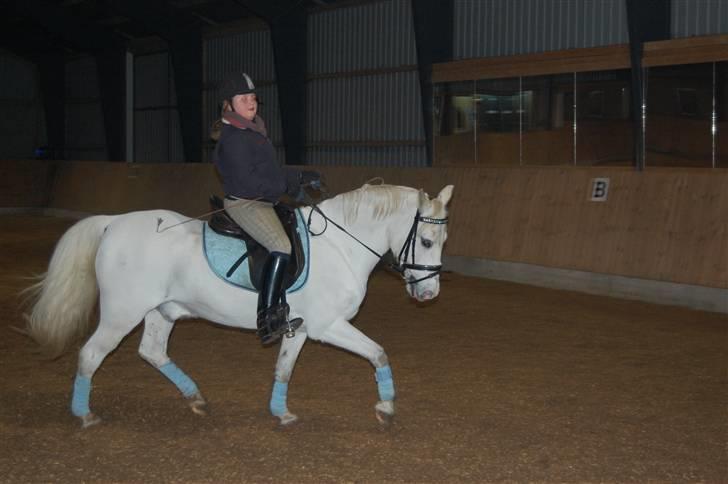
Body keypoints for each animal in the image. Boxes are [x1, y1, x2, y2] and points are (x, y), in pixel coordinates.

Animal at [25, 183, 454, 428]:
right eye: (426, 241)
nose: (429, 295)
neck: (341, 245)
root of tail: (112, 222)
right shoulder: (327, 326)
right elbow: (378, 353)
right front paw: (387, 408)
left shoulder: (300, 327)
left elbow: (284, 369)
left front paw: (281, 412)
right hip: (121, 312)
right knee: (91, 354)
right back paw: (85, 414)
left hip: (161, 310)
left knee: (152, 351)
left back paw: (196, 399)